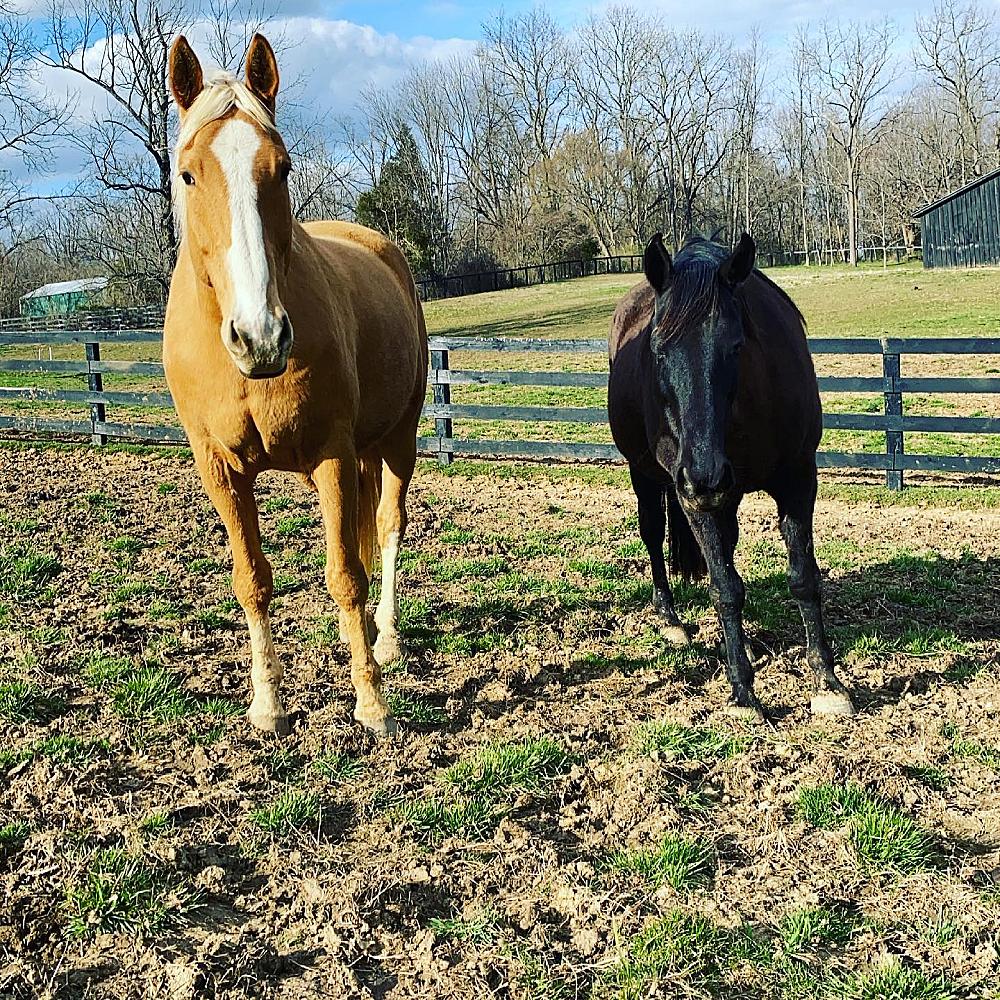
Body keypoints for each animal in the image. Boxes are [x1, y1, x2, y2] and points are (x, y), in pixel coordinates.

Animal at [164, 35, 427, 737]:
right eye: (188, 174)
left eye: (280, 167)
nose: (259, 338)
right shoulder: (221, 469)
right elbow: (252, 579)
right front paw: (267, 703)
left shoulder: (334, 455)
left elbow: (345, 575)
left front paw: (371, 702)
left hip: (399, 437)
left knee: (386, 526)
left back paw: (386, 638)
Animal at [608, 233, 854, 722]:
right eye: (657, 348)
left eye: (736, 346)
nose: (704, 475)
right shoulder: (694, 499)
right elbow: (724, 588)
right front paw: (743, 690)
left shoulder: (798, 479)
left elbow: (803, 577)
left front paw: (827, 681)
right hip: (647, 475)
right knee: (653, 535)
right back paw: (670, 619)